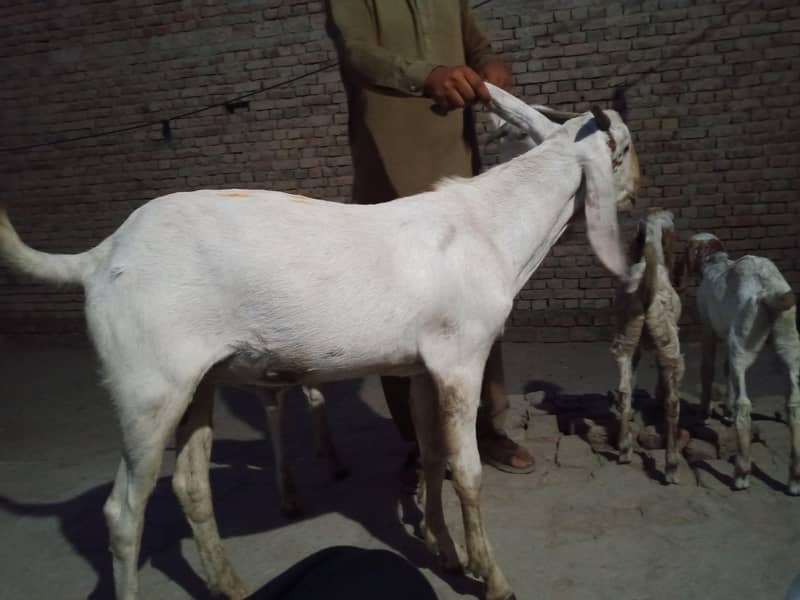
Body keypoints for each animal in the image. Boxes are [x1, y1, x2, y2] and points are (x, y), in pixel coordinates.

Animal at [0, 83, 638, 600]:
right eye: (626, 148)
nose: (638, 189)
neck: (489, 226)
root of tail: (99, 257)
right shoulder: (461, 358)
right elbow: (467, 468)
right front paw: (492, 576)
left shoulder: (423, 366)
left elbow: (432, 457)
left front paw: (445, 551)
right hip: (146, 385)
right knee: (123, 512)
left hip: (195, 381)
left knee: (189, 484)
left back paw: (231, 584)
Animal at [610, 209, 684, 482]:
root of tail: (645, 293)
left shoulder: (637, 348)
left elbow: (632, 381)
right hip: (669, 345)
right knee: (673, 402)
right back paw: (671, 466)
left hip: (625, 338)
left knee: (623, 390)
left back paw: (624, 449)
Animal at [682, 233, 799, 495]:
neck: (715, 262)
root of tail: (769, 290)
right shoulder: (728, 336)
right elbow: (727, 371)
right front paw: (726, 411)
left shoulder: (708, 329)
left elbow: (708, 370)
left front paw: (704, 413)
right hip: (787, 343)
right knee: (794, 405)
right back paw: (794, 478)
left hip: (743, 342)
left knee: (745, 405)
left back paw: (742, 473)